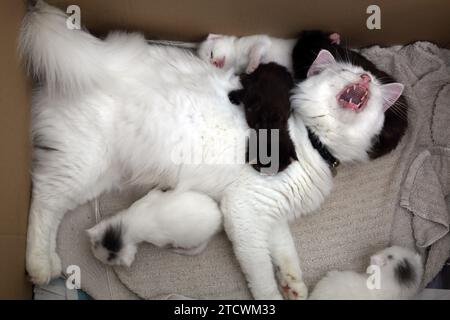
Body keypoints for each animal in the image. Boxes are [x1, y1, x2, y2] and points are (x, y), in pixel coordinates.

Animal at [85, 189, 221, 266]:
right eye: (95, 245)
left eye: (109, 260)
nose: (97, 257)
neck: (130, 226)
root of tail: (218, 219)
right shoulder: (146, 199)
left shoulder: (158, 240)